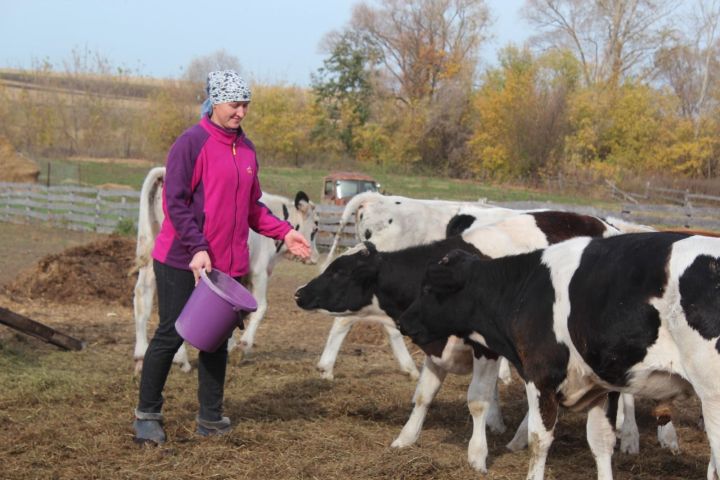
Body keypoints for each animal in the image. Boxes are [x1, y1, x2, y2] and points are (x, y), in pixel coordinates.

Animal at [133, 167, 318, 374]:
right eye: (315, 228)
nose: (315, 257)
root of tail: (163, 172)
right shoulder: (259, 271)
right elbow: (260, 307)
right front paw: (242, 346)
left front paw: (229, 346)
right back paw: (181, 360)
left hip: (152, 257)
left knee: (142, 296)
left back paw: (140, 356)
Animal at [294, 210, 632, 472]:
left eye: (339, 273)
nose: (299, 293)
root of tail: (606, 225)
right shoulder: (434, 347)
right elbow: (423, 395)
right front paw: (405, 438)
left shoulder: (486, 349)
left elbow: (478, 400)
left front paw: (477, 455)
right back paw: (518, 439)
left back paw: (628, 438)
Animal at [400, 231, 720, 478]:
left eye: (428, 288)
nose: (404, 321)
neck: (523, 290)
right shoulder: (600, 387)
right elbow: (601, 441)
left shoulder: (540, 376)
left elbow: (539, 439)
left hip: (712, 398)